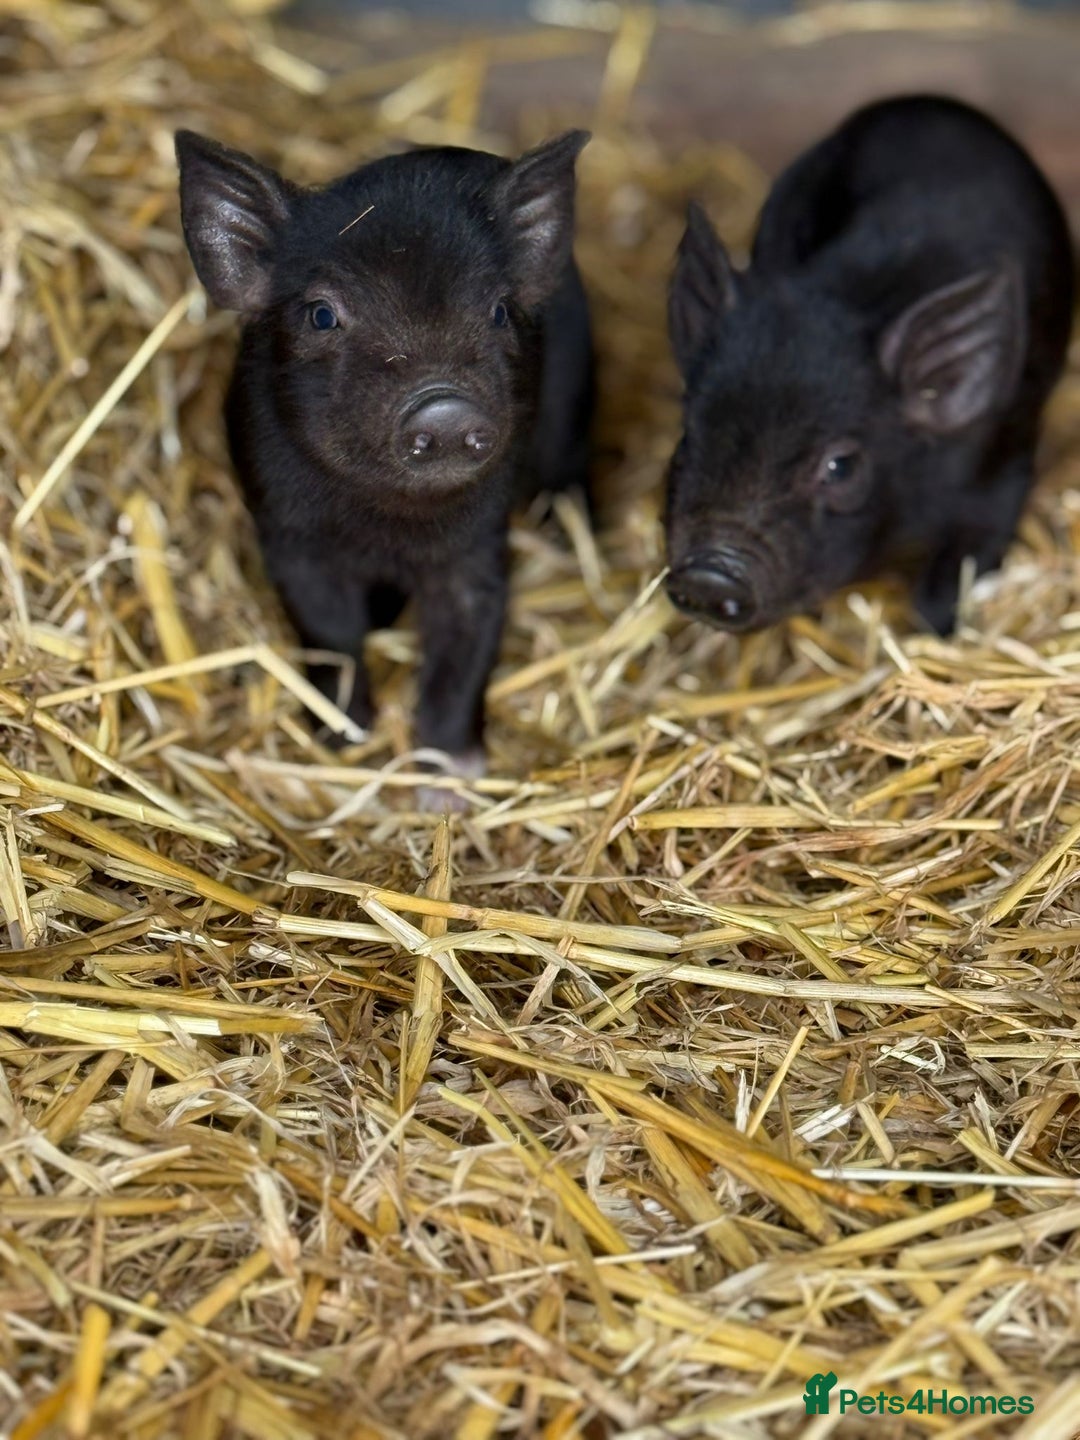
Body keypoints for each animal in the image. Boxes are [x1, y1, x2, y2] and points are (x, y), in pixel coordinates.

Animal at [175, 127, 592, 801]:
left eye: (500, 310)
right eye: (322, 314)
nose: (444, 405)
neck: (387, 526)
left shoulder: (476, 551)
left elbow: (466, 646)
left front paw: (447, 784)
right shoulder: (290, 540)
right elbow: (328, 637)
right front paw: (346, 739)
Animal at [664, 95, 1074, 639]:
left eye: (840, 466)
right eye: (688, 434)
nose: (709, 576)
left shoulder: (1004, 462)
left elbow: (969, 556)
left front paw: (927, 631)